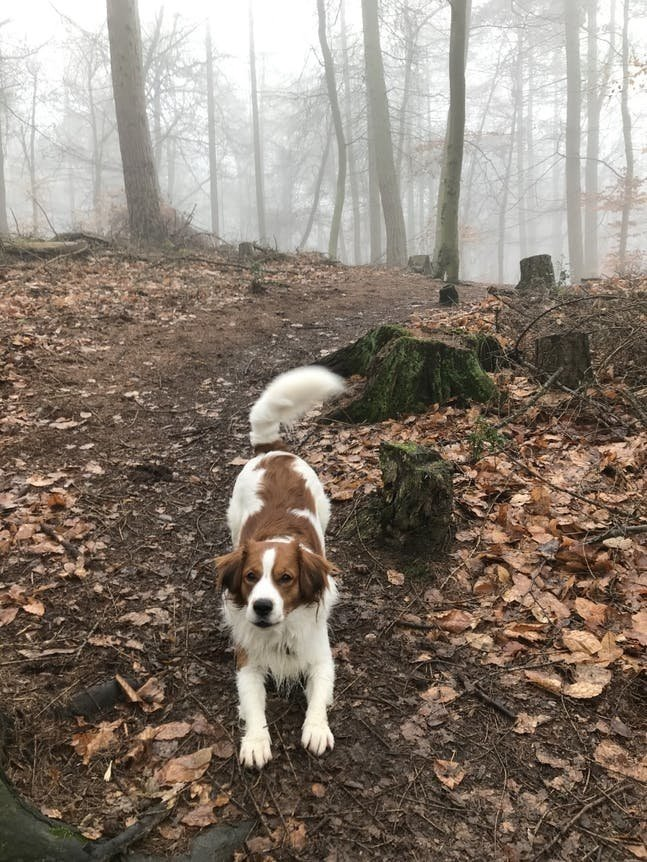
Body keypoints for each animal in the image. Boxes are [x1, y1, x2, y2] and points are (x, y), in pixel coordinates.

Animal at [216, 364, 346, 768]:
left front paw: (316, 729)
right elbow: (254, 707)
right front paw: (256, 742)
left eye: (285, 578)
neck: (281, 630)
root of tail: (273, 451)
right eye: (250, 577)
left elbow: (318, 699)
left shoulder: (321, 658)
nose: (261, 606)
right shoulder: (247, 663)